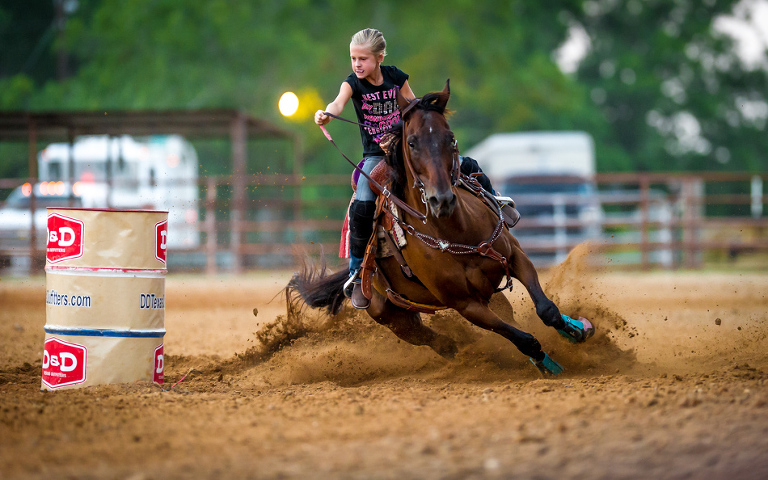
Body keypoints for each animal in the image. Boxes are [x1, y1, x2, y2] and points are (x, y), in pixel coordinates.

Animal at [288, 81, 592, 376]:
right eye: (411, 142)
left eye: (450, 137)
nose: (441, 199)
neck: (459, 232)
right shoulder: (466, 305)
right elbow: (521, 338)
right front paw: (547, 364)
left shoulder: (515, 257)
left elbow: (546, 310)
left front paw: (577, 330)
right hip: (391, 316)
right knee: (441, 343)